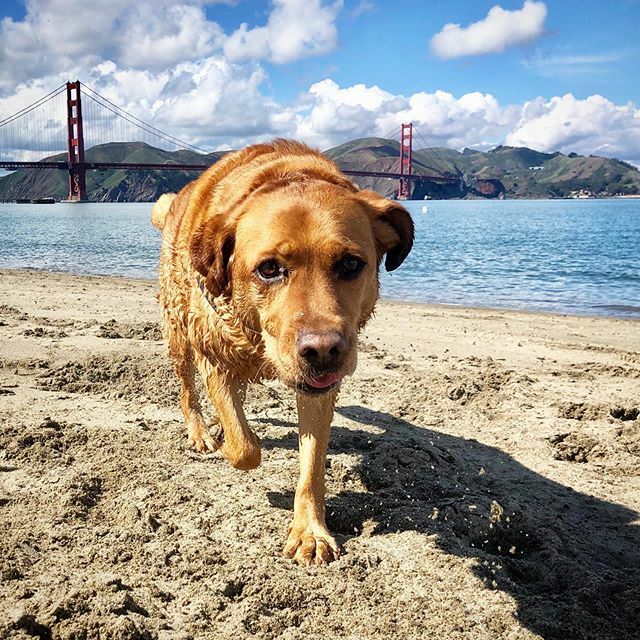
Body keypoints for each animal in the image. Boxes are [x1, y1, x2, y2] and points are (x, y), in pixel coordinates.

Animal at [150, 141, 412, 564]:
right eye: (269, 268)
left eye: (351, 263)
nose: (322, 351)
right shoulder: (214, 356)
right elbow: (245, 449)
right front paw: (229, 441)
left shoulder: (318, 391)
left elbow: (312, 466)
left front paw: (310, 531)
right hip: (178, 333)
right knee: (188, 391)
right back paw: (203, 432)